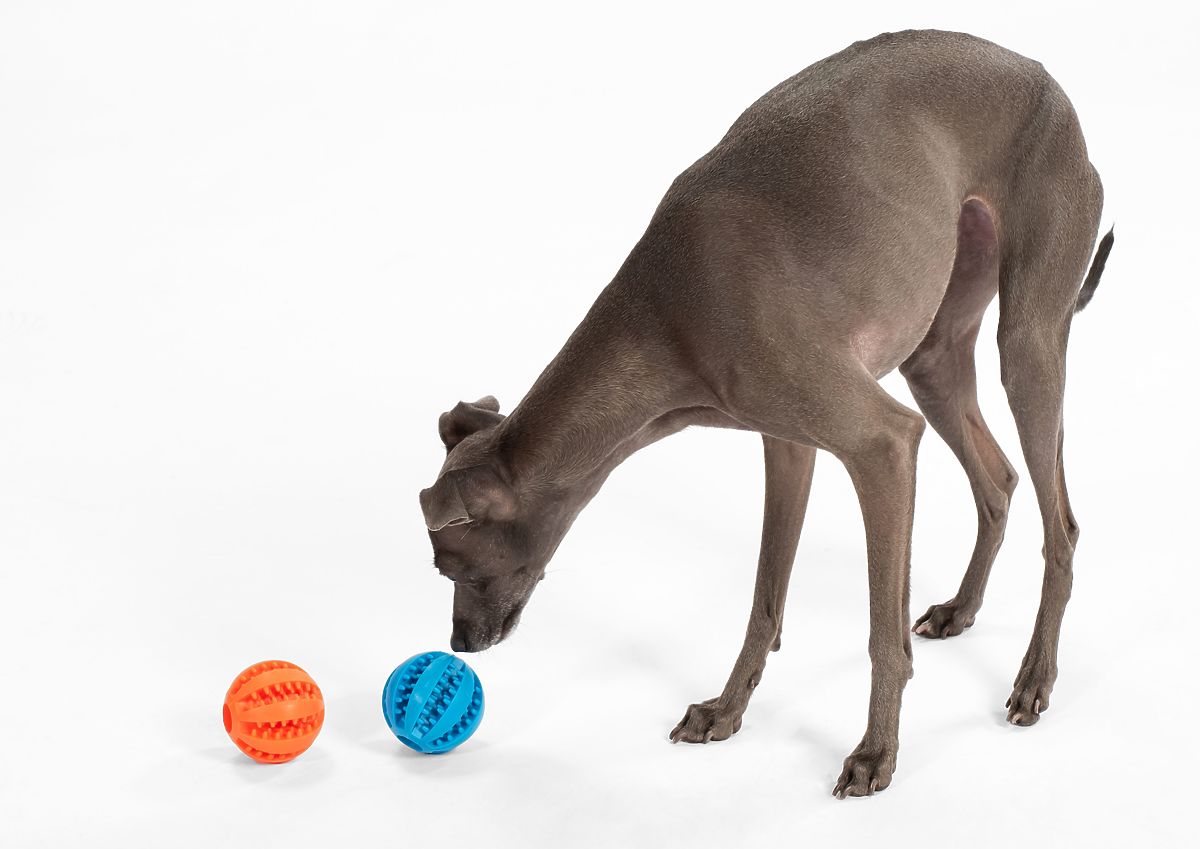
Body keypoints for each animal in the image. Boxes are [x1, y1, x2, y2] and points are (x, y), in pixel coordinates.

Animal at [419, 29, 1114, 797]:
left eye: (449, 567)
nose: (459, 644)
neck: (669, 313)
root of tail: (1042, 75)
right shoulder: (787, 445)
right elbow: (765, 598)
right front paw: (726, 710)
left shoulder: (882, 444)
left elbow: (881, 632)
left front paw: (875, 753)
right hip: (933, 355)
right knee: (998, 480)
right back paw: (961, 609)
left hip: (1027, 344)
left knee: (1062, 524)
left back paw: (1035, 678)